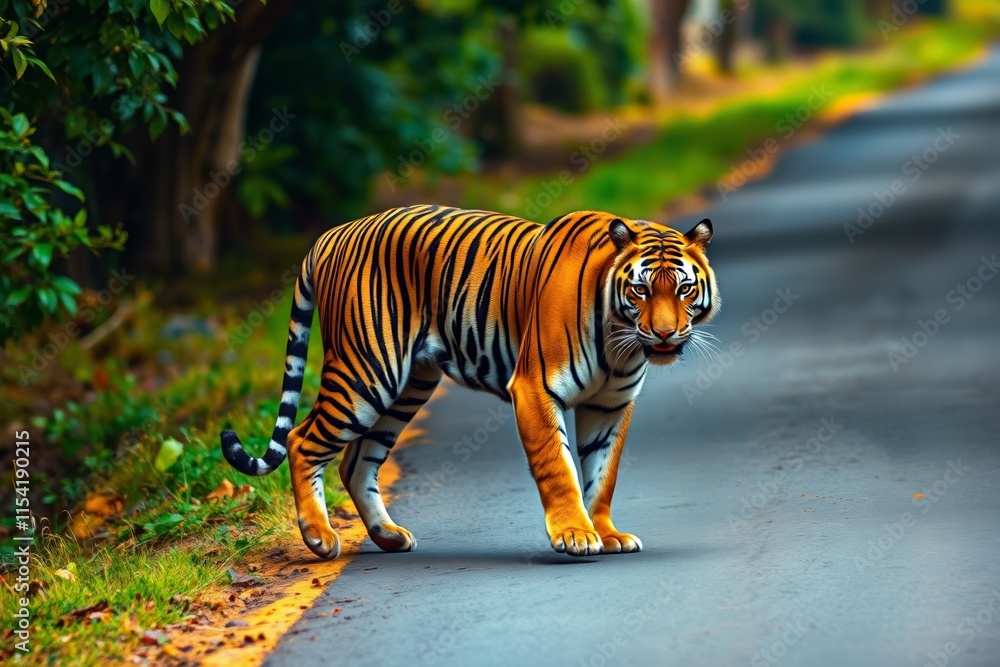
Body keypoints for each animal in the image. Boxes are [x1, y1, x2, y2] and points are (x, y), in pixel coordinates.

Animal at [221, 204, 718, 558]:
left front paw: (607, 532)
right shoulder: (536, 388)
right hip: (366, 373)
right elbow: (559, 468)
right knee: (303, 440)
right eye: (640, 290)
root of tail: (331, 234)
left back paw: (388, 536)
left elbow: (603, 473)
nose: (664, 334)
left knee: (355, 462)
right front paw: (575, 534)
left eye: (684, 289)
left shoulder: (610, 405)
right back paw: (320, 537)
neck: (620, 344)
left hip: (406, 388)